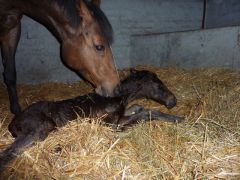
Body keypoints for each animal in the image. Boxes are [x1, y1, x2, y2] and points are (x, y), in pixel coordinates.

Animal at [0, 69, 184, 171]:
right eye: (159, 86)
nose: (173, 101)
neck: (116, 98)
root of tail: (12, 124)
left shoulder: (121, 115)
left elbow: (137, 107)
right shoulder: (111, 124)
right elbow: (146, 112)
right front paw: (178, 118)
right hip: (41, 129)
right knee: (10, 152)